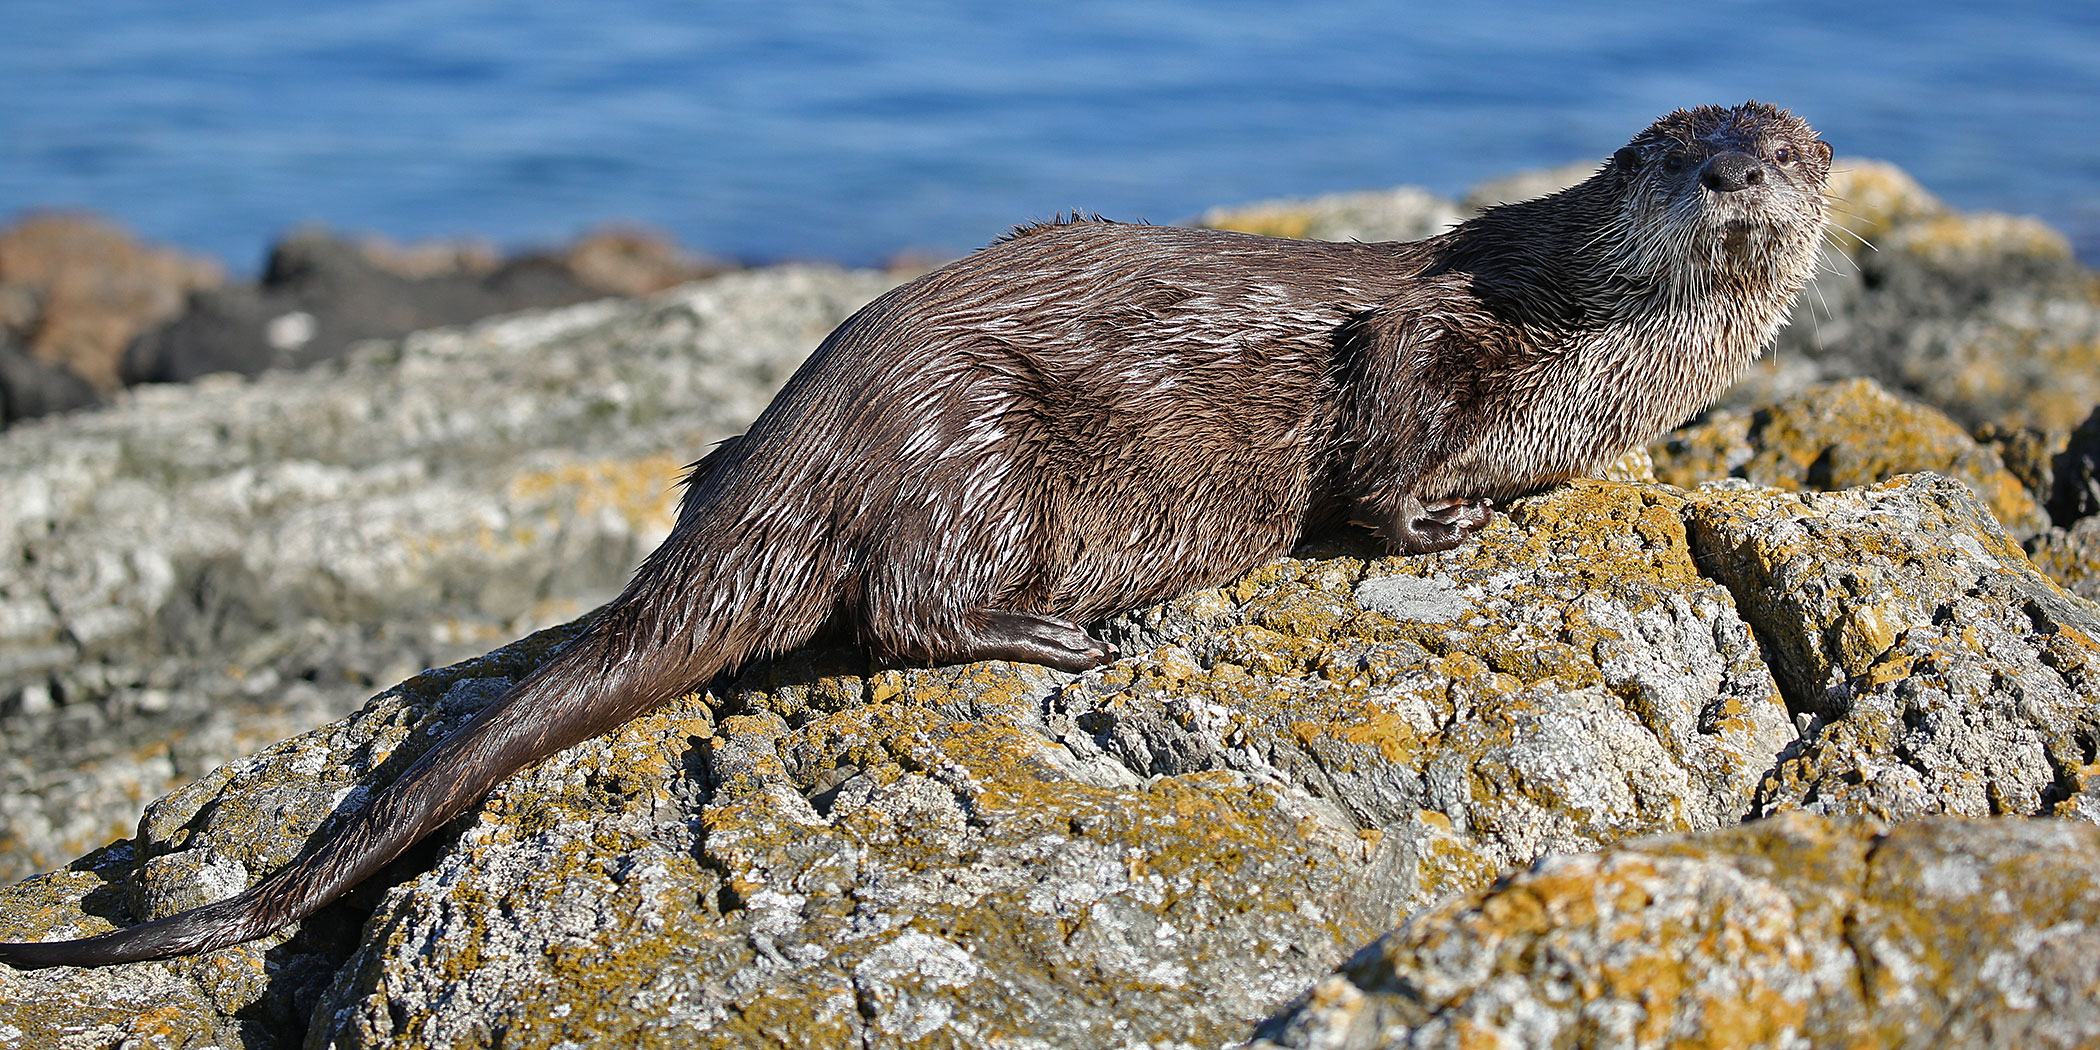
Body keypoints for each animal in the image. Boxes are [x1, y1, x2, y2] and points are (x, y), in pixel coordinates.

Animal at [0, 100, 1831, 965]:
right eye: (1679, 153)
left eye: (1784, 149)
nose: (1741, 177)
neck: (1589, 355)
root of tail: (812, 427)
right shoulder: (1433, 333)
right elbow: (1381, 453)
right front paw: (1434, 520)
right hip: (981, 451)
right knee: (899, 612)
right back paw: (1057, 633)